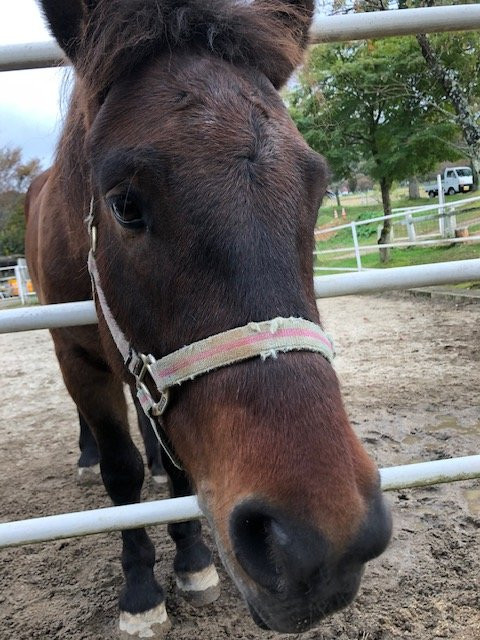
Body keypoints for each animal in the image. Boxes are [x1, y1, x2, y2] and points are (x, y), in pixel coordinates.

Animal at [25, 2, 390, 636]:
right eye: (124, 204)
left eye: (318, 189)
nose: (323, 546)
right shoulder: (79, 359)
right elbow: (120, 472)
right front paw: (140, 592)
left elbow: (178, 471)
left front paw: (193, 559)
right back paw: (87, 458)